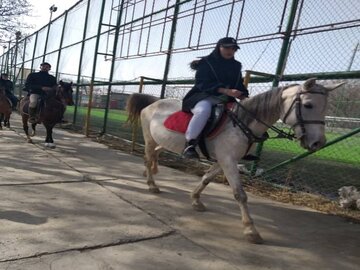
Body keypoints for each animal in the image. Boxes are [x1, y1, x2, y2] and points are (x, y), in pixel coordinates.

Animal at [126, 77, 344, 244]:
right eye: (308, 105)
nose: (318, 143)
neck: (239, 123)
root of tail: (153, 103)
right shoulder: (228, 161)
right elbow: (240, 195)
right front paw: (251, 230)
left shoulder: (224, 160)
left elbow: (206, 178)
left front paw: (196, 199)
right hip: (149, 138)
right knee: (148, 156)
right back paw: (152, 184)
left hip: (164, 142)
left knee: (153, 155)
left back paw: (151, 173)